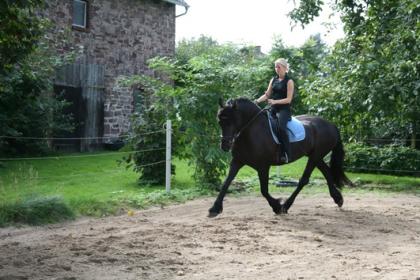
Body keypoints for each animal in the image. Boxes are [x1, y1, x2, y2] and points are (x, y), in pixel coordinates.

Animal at [209, 97, 352, 217]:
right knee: (326, 171)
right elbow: (226, 183)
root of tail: (331, 125)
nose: (225, 146)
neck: (251, 131)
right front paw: (214, 209)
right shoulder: (237, 161)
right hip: (315, 156)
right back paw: (338, 198)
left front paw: (277, 206)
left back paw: (286, 206)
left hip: (315, 156)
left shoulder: (263, 166)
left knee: (304, 180)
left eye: (231, 121)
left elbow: (264, 190)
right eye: (220, 121)